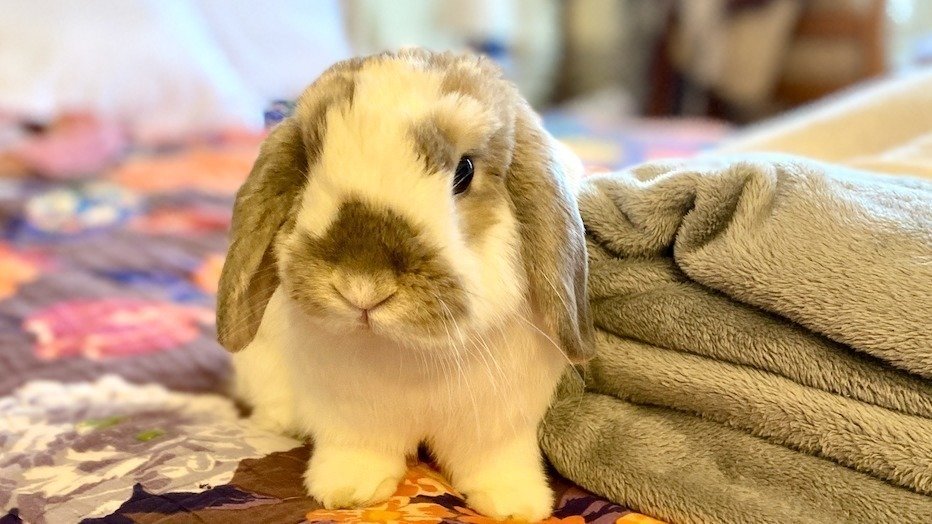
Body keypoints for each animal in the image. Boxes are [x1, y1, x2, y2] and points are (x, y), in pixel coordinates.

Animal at [216, 48, 594, 521]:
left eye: (465, 171)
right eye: (308, 164)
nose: (362, 286)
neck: (411, 352)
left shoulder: (499, 421)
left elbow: (496, 460)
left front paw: (516, 504)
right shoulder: (351, 416)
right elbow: (356, 451)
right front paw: (345, 491)